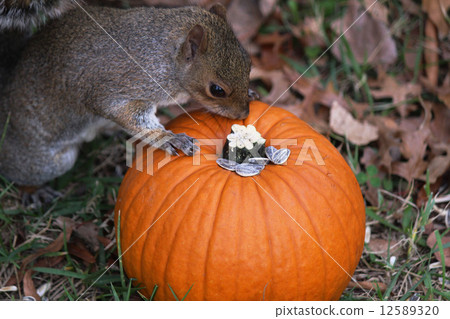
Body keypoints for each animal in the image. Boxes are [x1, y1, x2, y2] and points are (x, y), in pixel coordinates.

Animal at [0, 1, 253, 200]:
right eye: (217, 90)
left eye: (249, 63)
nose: (244, 113)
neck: (165, 56)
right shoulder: (123, 87)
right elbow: (126, 115)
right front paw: (170, 138)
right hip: (44, 161)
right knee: (18, 171)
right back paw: (34, 191)